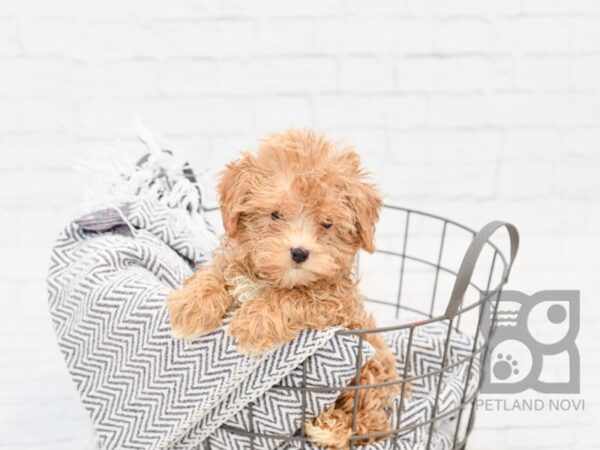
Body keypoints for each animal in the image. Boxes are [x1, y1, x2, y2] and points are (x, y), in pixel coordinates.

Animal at [168, 128, 404, 448]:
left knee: (372, 421)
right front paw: (191, 305)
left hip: (370, 371)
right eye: (275, 215)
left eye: (327, 224)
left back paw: (331, 428)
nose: (299, 253)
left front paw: (253, 323)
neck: (274, 278)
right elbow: (217, 273)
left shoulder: (337, 304)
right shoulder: (235, 263)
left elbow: (293, 297)